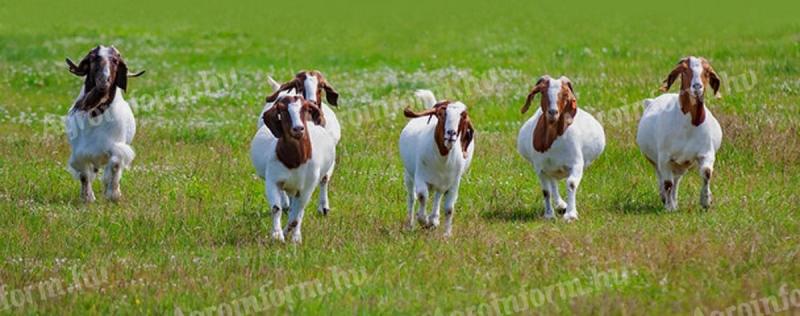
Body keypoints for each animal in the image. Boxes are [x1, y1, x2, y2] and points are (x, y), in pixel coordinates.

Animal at [252, 90, 336, 243]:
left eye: (305, 108)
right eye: (283, 110)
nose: (298, 129)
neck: (295, 160)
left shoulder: (306, 188)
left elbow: (297, 216)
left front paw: (293, 237)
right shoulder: (273, 179)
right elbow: (276, 208)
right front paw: (277, 235)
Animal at [260, 71, 340, 215]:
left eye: (321, 86)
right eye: (299, 85)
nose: (312, 102)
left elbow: (324, 178)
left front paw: (323, 207)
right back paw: (286, 203)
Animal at [400, 90, 476, 236]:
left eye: (463, 117)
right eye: (441, 114)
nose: (451, 133)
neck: (442, 159)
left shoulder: (454, 183)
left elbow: (449, 208)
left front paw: (446, 233)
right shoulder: (420, 176)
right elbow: (422, 196)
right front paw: (423, 220)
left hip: (442, 182)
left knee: (438, 194)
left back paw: (434, 219)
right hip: (408, 175)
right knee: (412, 198)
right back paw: (411, 224)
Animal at [516, 75, 604, 221]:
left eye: (565, 94)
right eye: (543, 92)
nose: (553, 112)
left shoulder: (576, 163)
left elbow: (571, 184)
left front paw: (571, 214)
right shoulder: (540, 168)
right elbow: (546, 191)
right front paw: (549, 215)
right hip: (551, 168)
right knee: (553, 184)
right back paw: (561, 205)